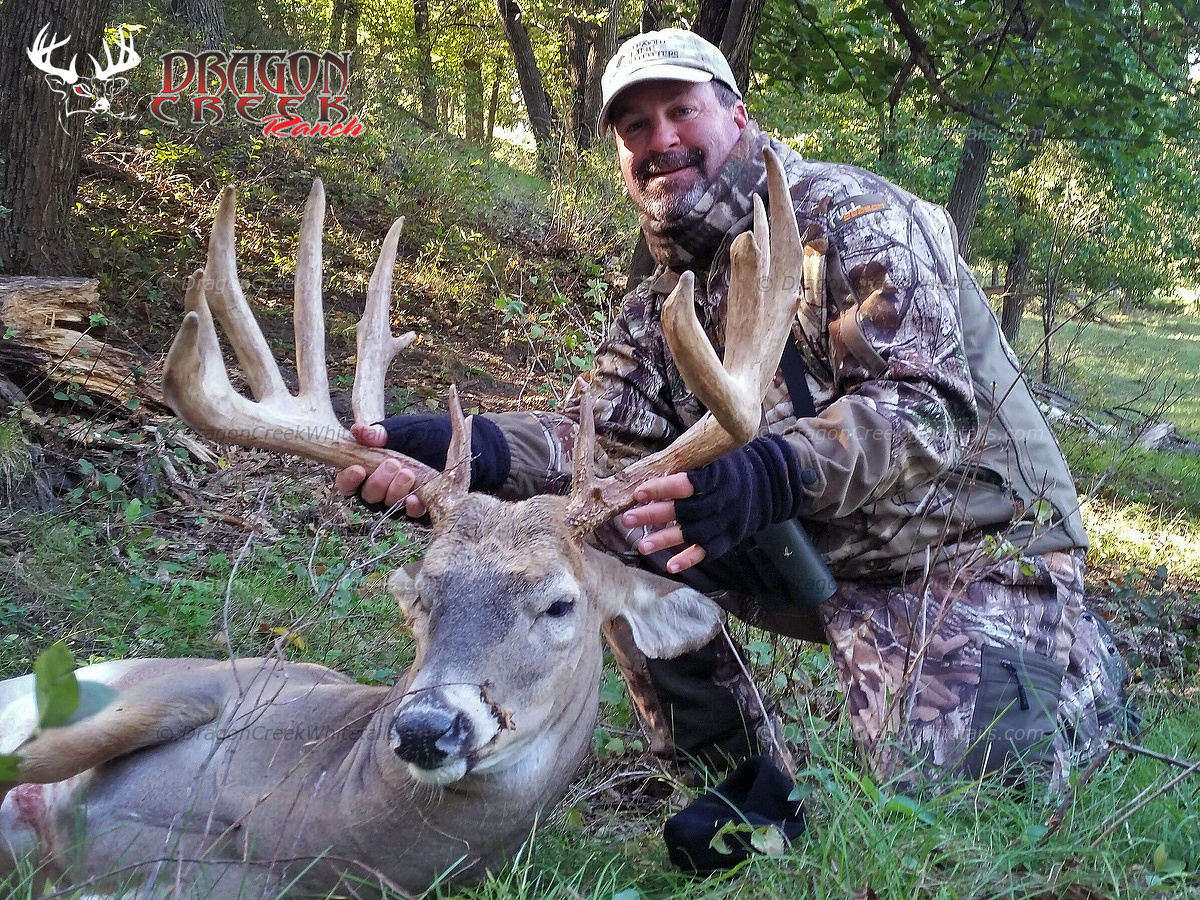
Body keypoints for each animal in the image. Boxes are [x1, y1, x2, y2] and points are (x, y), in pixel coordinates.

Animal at [0, 148, 803, 899]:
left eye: (560, 603)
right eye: (422, 592)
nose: (426, 726)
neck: (296, 811)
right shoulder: (192, 681)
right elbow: (39, 756)